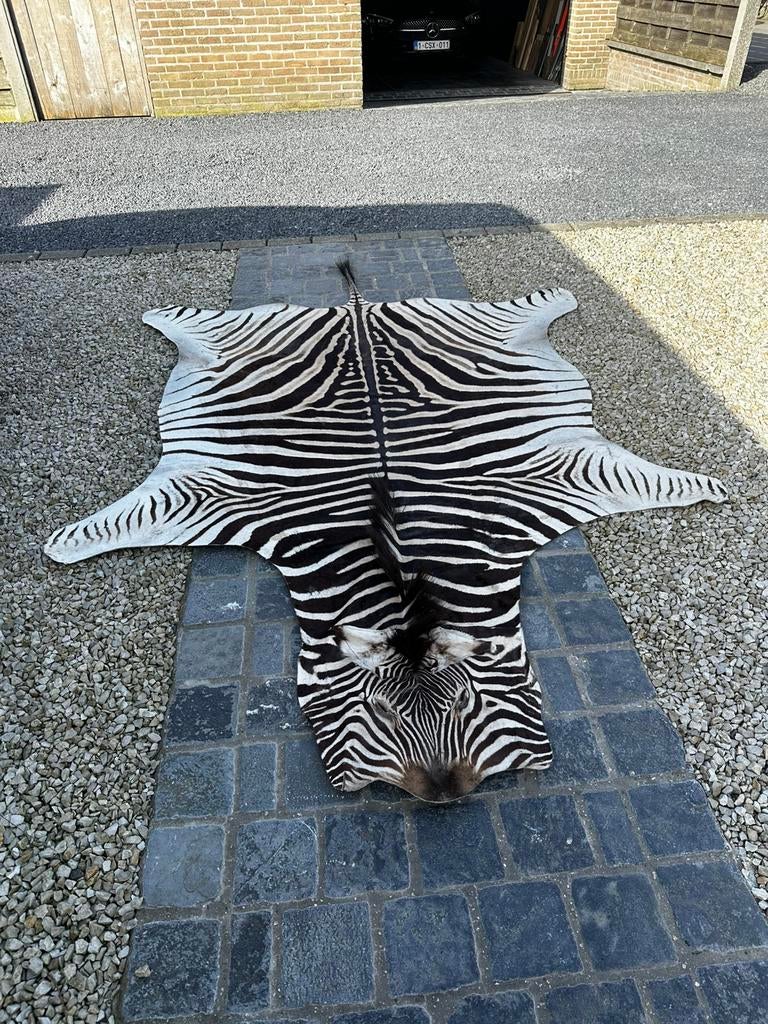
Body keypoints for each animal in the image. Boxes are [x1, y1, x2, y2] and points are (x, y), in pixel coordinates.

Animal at [45, 262, 727, 802]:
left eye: (466, 705)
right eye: (378, 714)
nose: (445, 796)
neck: (403, 557)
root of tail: (358, 308)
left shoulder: (558, 473)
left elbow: (655, 480)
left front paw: (712, 486)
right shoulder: (211, 494)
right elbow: (116, 522)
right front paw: (60, 543)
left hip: (490, 330)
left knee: (530, 309)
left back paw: (560, 295)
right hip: (233, 337)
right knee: (189, 321)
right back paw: (157, 314)